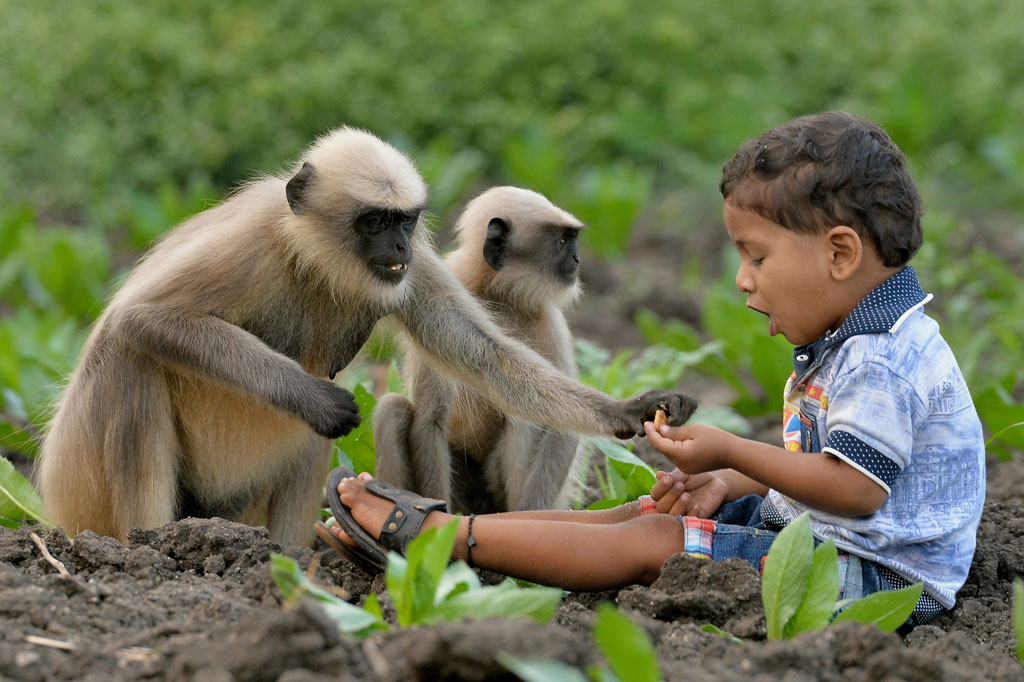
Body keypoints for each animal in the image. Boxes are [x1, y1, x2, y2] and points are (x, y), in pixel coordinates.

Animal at [374, 186, 598, 509]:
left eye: (572, 239)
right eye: (563, 242)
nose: (577, 260)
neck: (495, 292)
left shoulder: (548, 319)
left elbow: (563, 423)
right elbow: (430, 417)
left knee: (525, 417)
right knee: (392, 408)